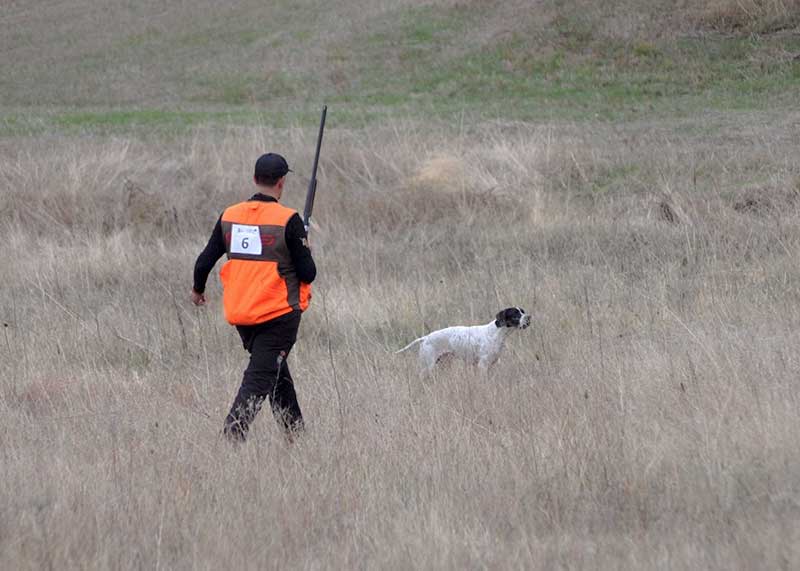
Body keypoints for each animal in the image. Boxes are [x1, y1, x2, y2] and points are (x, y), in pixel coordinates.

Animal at [396, 308, 532, 376]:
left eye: (523, 311)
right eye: (516, 314)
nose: (529, 317)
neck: (496, 333)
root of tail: (426, 338)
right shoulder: (482, 365)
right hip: (428, 366)